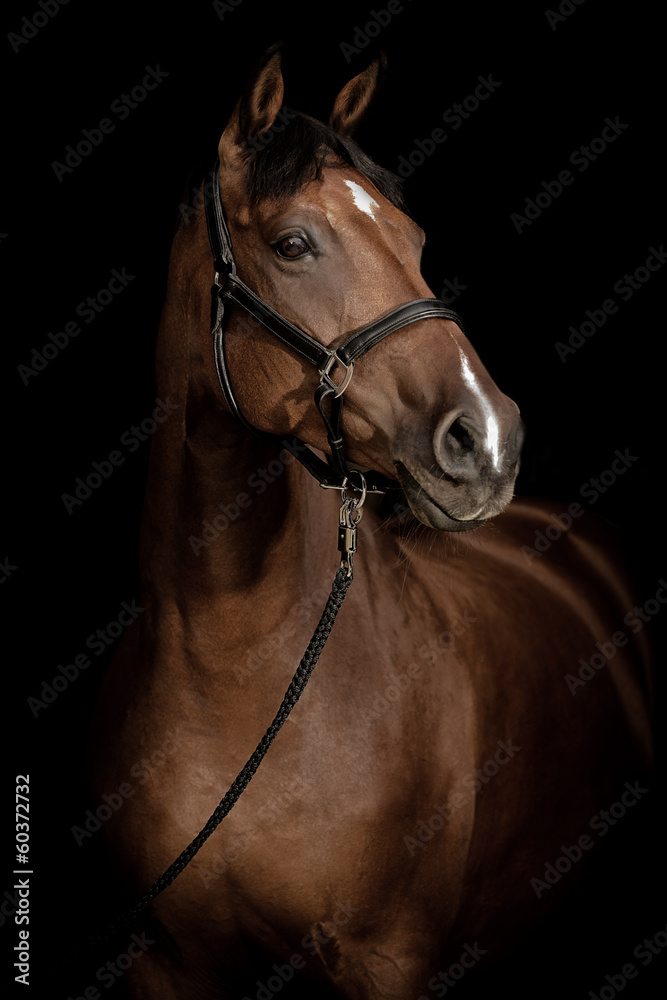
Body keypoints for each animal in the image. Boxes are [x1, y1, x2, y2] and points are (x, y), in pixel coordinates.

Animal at [89, 48, 653, 999]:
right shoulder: (164, 964)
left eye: (414, 240)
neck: (227, 658)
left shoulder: (386, 963)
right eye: (292, 244)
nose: (487, 437)